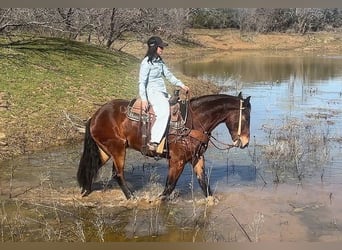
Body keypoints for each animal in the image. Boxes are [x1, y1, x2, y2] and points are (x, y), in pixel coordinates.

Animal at [77, 93, 251, 200]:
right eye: (245, 117)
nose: (245, 142)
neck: (192, 122)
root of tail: (95, 116)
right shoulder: (177, 161)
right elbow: (169, 187)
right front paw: (157, 201)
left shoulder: (197, 158)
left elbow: (204, 184)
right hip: (117, 149)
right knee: (117, 174)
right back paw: (132, 198)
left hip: (106, 150)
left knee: (93, 167)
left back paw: (86, 190)